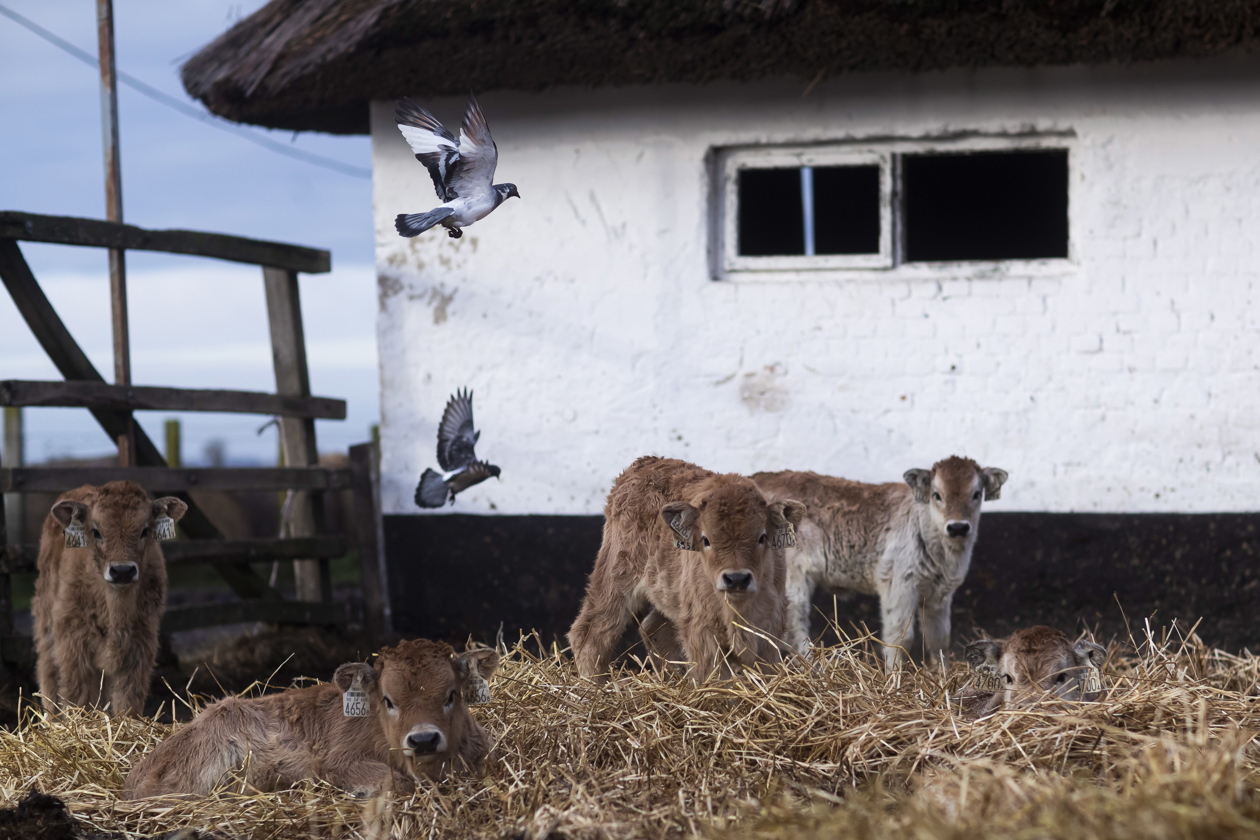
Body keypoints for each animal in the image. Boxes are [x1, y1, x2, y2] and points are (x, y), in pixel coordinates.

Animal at [33, 486, 186, 715]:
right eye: (96, 532)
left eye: (145, 530)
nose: (122, 571)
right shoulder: (73, 645)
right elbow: (77, 695)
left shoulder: (140, 646)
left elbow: (128, 700)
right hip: (46, 624)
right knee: (48, 672)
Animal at [567, 455, 801, 680]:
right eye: (706, 539)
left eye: (762, 537)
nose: (736, 579)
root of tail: (642, 464)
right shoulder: (701, 630)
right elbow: (715, 677)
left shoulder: (771, 628)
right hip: (616, 578)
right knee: (592, 631)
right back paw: (592, 685)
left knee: (653, 629)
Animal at [750, 455, 1008, 664]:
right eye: (937, 495)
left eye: (976, 494)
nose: (958, 527)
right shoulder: (898, 582)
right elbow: (900, 638)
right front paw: (895, 682)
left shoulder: (940, 594)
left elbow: (939, 640)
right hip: (791, 576)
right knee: (792, 625)